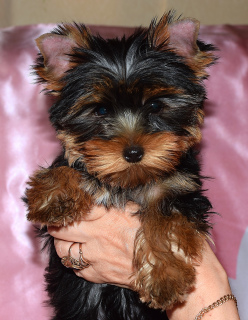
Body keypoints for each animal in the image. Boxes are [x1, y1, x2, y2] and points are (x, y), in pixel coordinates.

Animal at [24, 11, 216, 318]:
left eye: (155, 106)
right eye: (101, 110)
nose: (134, 152)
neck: (130, 182)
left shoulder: (179, 189)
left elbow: (164, 224)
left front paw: (164, 278)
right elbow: (71, 166)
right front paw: (52, 195)